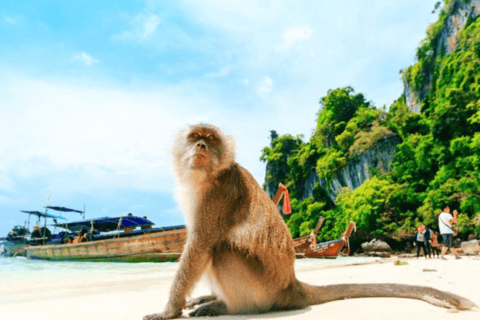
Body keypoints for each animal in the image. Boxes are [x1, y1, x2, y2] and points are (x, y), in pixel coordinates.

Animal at [144, 124, 478, 318]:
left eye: (210, 140)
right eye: (194, 138)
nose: (201, 146)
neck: (208, 175)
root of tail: (292, 286)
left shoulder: (218, 194)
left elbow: (200, 246)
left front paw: (168, 311)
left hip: (263, 290)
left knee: (222, 248)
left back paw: (228, 306)